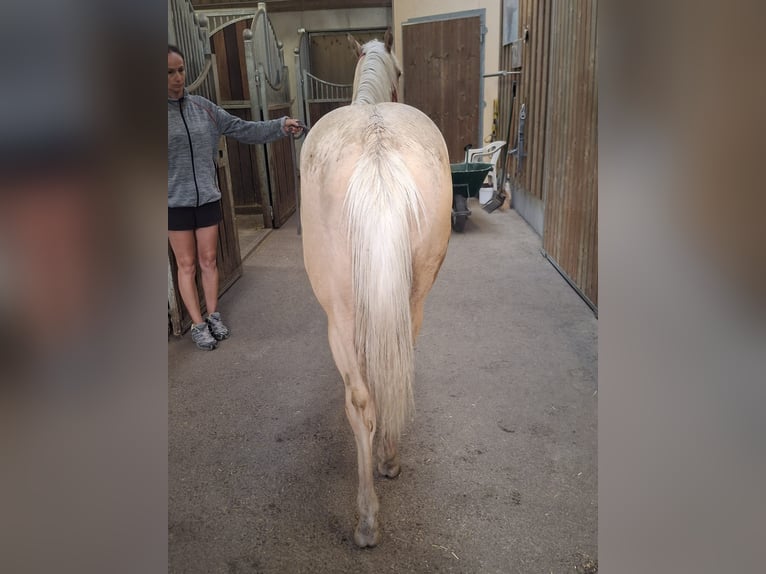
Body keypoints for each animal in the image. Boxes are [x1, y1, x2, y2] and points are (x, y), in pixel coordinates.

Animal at [299, 30, 453, 547]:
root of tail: (377, 146)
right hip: (411, 304)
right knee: (382, 385)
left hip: (341, 319)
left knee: (363, 402)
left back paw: (369, 513)